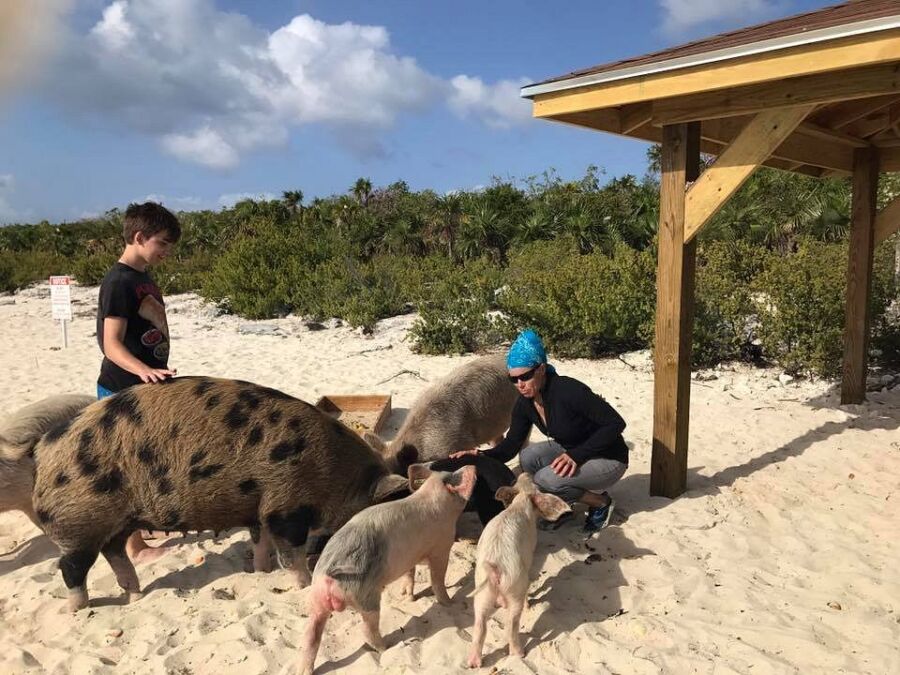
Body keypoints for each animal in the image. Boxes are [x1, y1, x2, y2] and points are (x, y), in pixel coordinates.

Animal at [29, 377, 410, 612]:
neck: (334, 474)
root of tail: (44, 452)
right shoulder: (285, 506)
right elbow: (291, 554)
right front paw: (301, 584)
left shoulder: (259, 507)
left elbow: (260, 541)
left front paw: (260, 571)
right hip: (81, 520)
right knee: (70, 567)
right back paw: (80, 609)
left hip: (117, 522)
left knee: (114, 553)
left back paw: (134, 595)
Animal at [298, 463, 477, 675]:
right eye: (454, 477)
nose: (471, 465)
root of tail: (328, 575)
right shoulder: (442, 546)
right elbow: (438, 579)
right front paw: (450, 603)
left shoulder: (410, 556)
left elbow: (410, 573)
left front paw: (408, 596)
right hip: (366, 597)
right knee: (367, 629)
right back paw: (386, 646)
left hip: (316, 602)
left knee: (310, 635)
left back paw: (304, 670)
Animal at [467, 473, 570, 668]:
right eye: (537, 486)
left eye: (516, 481)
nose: (526, 473)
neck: (520, 503)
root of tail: (496, 567)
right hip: (514, 589)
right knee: (511, 625)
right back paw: (519, 654)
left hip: (482, 593)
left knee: (480, 626)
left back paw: (473, 664)